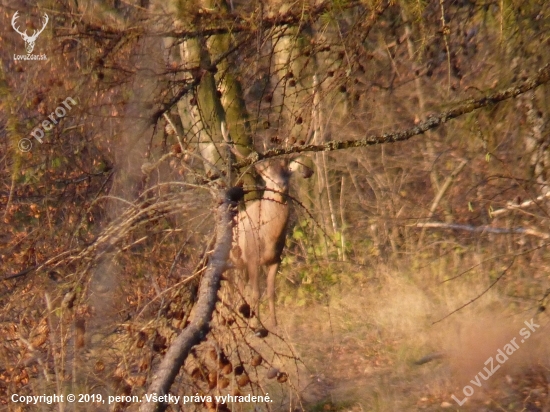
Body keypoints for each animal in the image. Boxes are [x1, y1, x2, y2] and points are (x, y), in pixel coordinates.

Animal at [230, 159, 300, 326]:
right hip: (232, 262)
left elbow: (270, 292)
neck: (269, 238)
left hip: (242, 266)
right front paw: (255, 324)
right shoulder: (252, 258)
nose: (282, 185)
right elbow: (255, 293)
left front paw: (274, 324)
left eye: (287, 172)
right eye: (268, 176)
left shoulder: (275, 260)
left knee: (241, 288)